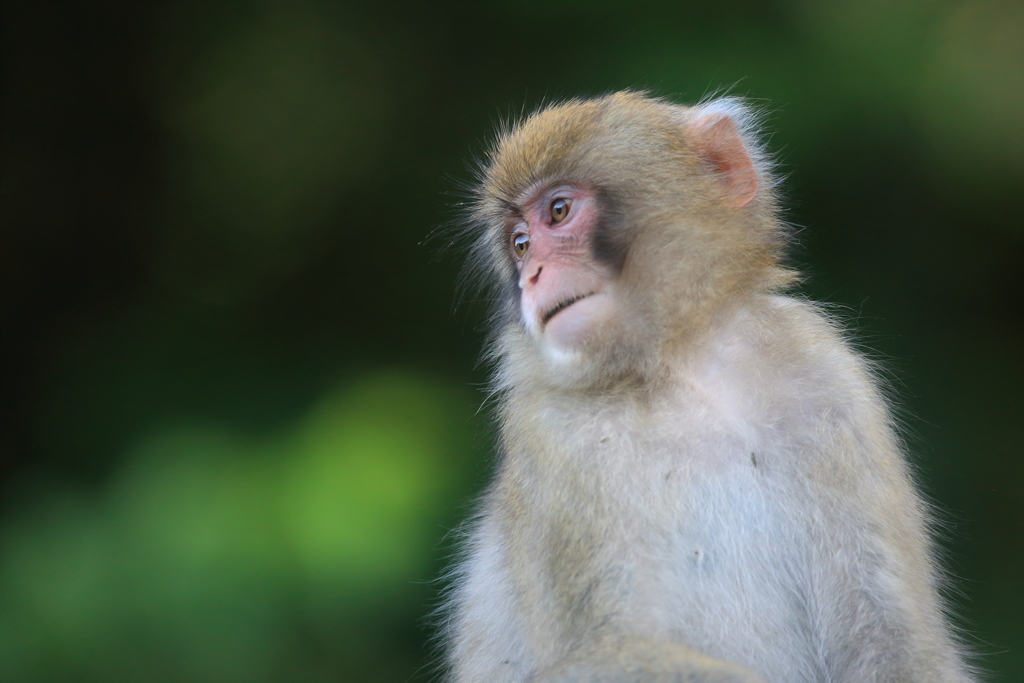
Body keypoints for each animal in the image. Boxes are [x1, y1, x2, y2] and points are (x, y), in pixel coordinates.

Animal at [442, 92, 974, 683]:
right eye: (519, 244)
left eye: (558, 211)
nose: (532, 275)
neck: (681, 369)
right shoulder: (550, 435)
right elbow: (601, 651)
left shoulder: (832, 378)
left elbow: (896, 642)